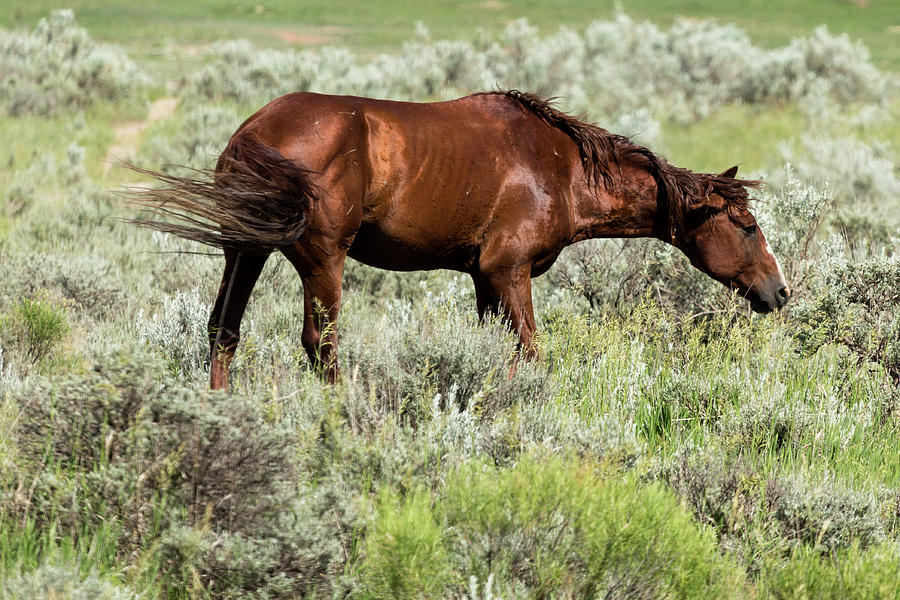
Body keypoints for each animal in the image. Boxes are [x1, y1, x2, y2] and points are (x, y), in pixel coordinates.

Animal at [130, 89, 792, 390]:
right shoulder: (508, 272)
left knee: (223, 330)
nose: (779, 292)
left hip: (244, 251)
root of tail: (253, 131)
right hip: (321, 260)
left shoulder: (482, 279)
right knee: (321, 345)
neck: (561, 168)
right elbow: (530, 352)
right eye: (747, 225)